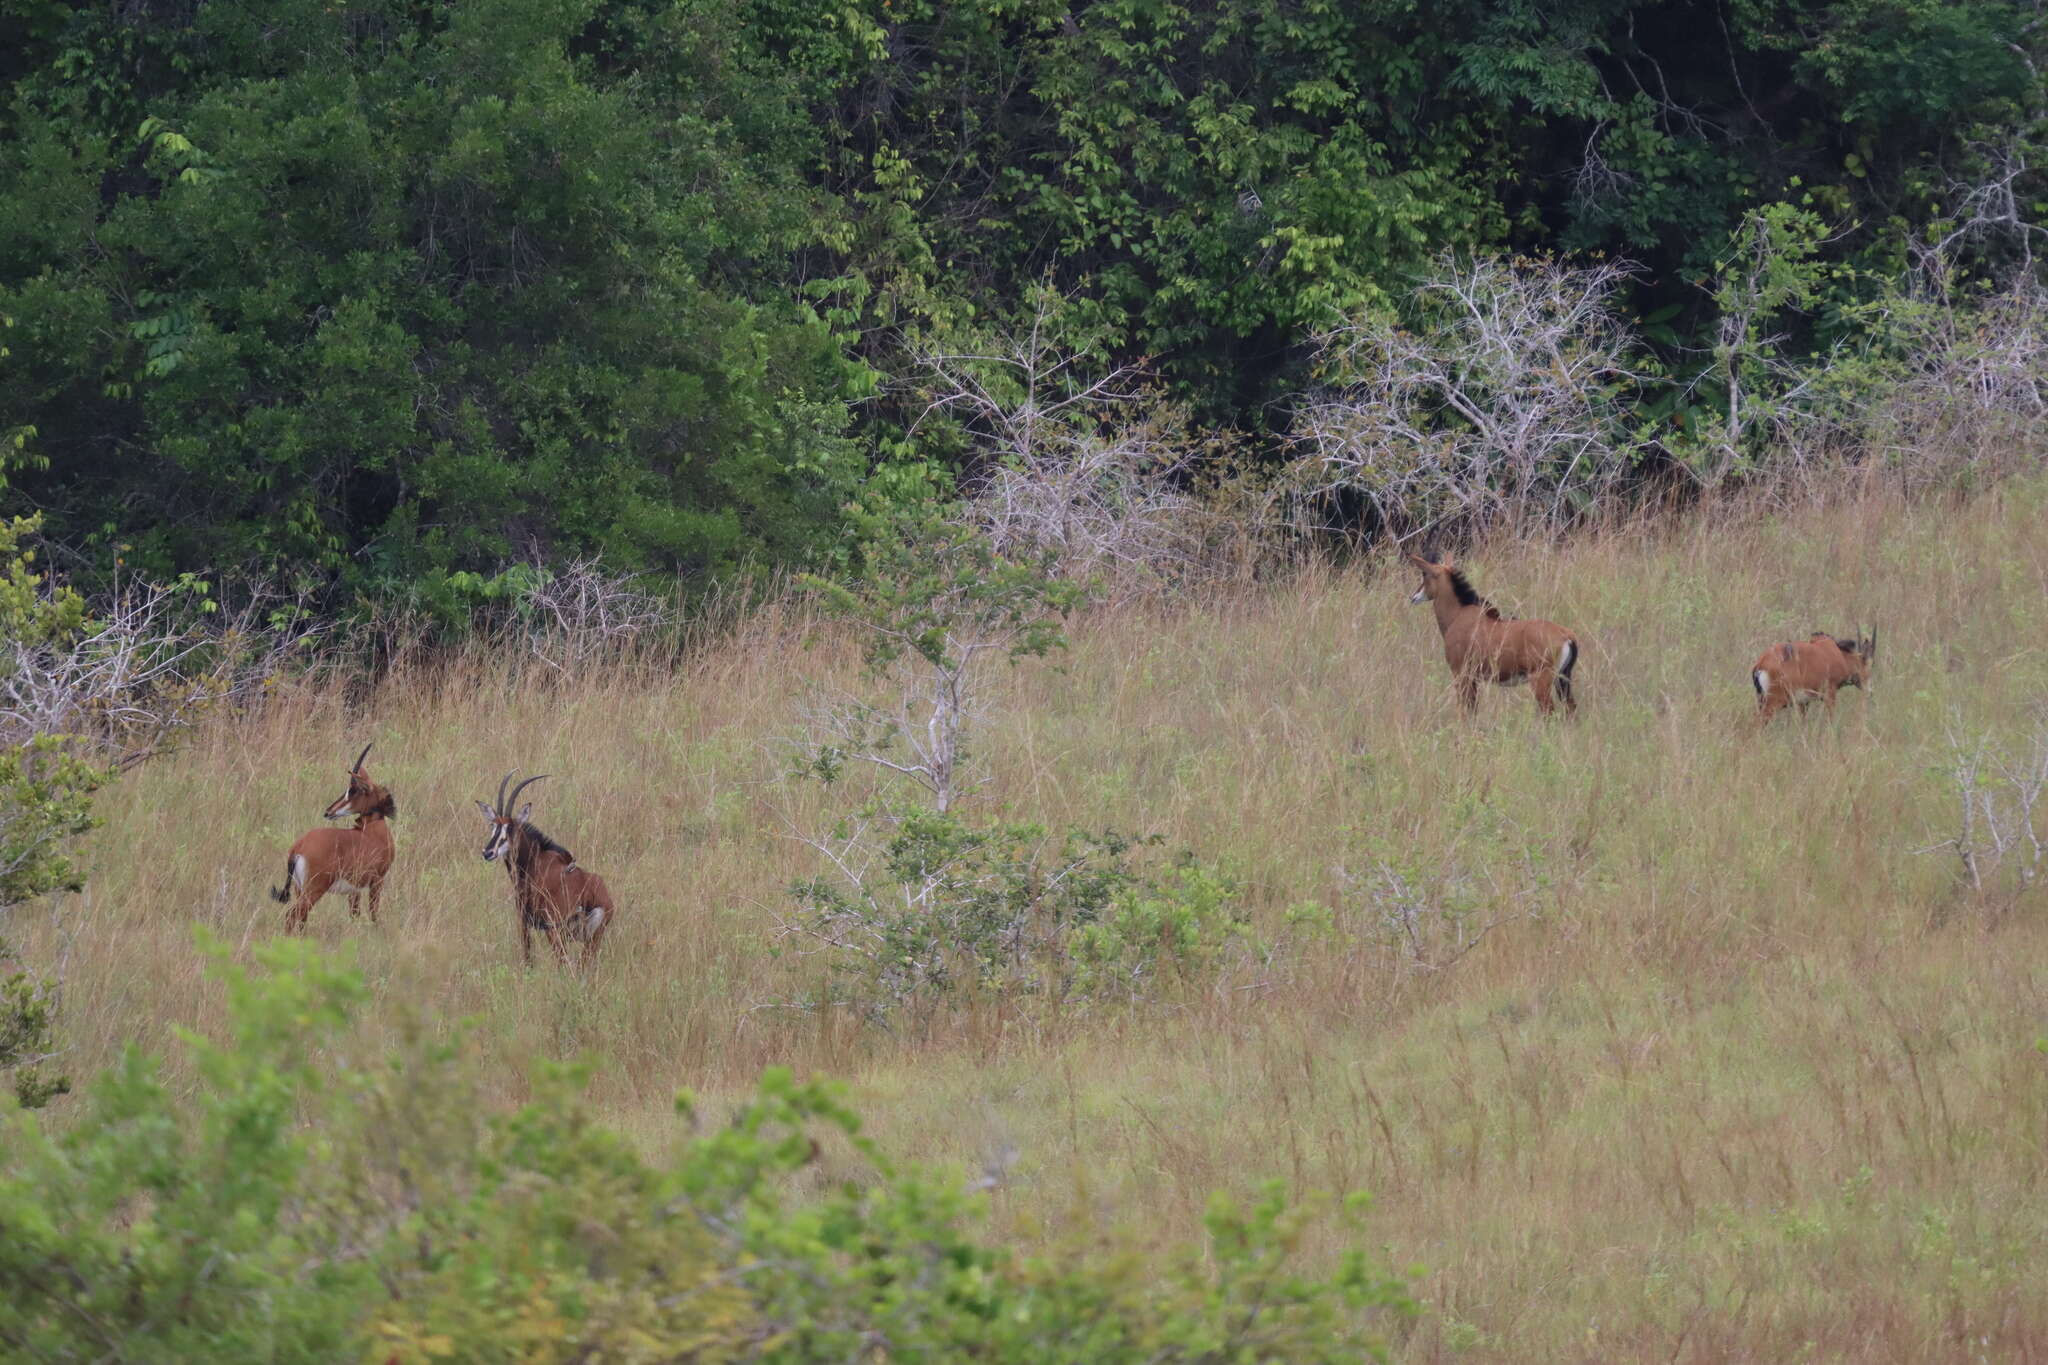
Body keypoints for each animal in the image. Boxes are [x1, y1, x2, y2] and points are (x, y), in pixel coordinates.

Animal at [268, 740, 395, 933]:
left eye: (353, 790)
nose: (329, 812)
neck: (371, 832)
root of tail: (299, 846)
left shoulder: (355, 889)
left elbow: (354, 914)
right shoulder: (377, 880)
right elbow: (373, 913)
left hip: (299, 888)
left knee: (302, 918)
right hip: (314, 890)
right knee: (292, 915)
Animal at [475, 769, 610, 970]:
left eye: (511, 828)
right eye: (493, 825)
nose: (488, 852)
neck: (535, 861)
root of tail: (589, 893)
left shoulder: (523, 920)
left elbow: (527, 956)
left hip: (554, 931)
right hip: (592, 939)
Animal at [1409, 552, 1581, 720]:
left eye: (1425, 575)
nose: (1414, 597)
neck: (1457, 614)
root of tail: (1567, 635)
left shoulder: (1461, 673)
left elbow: (1465, 710)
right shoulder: (1473, 678)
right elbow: (1473, 710)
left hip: (1541, 679)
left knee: (1549, 712)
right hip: (1563, 679)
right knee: (1571, 708)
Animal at [1744, 626, 1875, 724]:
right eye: (1868, 664)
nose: (1869, 691)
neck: (1838, 654)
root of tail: (1761, 663)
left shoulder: (1803, 702)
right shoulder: (1830, 694)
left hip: (1762, 699)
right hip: (1774, 702)